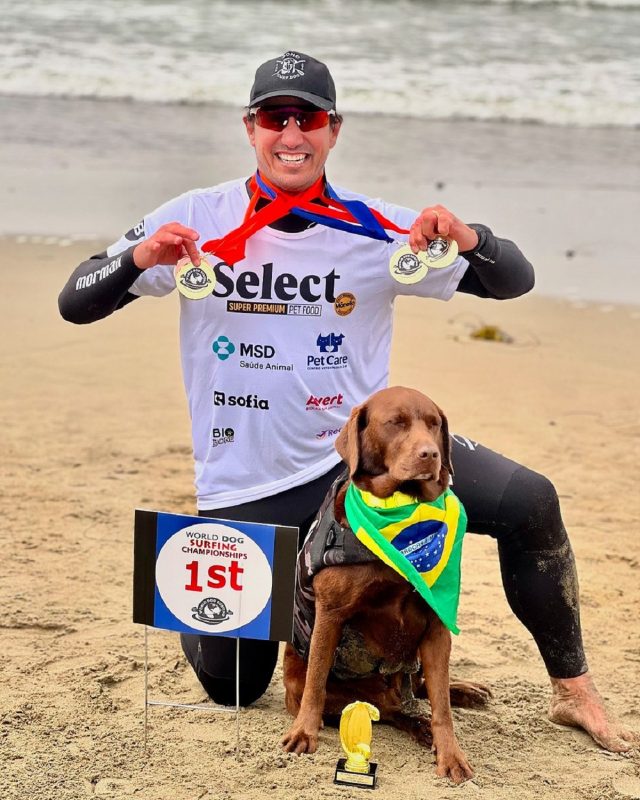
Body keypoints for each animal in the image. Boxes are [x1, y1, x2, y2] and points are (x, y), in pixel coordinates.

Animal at [282, 386, 490, 780]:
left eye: (434, 424)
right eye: (395, 423)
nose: (431, 454)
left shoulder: (436, 625)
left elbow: (442, 706)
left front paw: (451, 755)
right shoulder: (330, 614)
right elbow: (316, 684)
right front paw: (303, 733)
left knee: (421, 689)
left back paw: (463, 693)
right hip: (311, 682)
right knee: (390, 707)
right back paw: (419, 726)